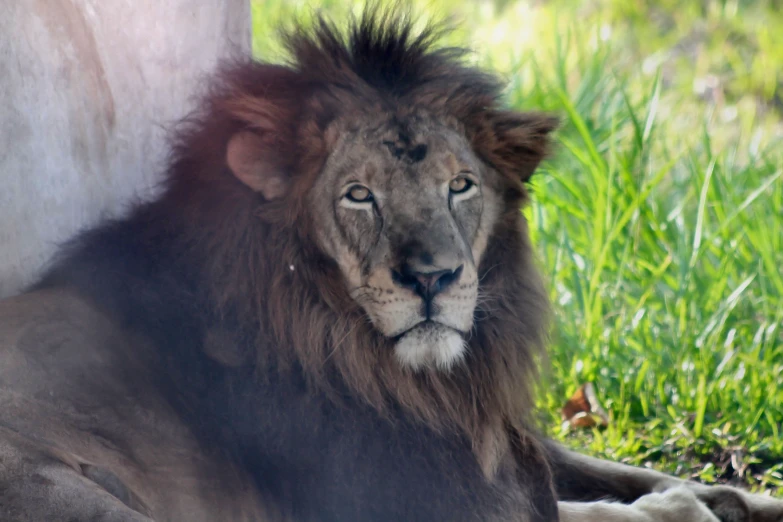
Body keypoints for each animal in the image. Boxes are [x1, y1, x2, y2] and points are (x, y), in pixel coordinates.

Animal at [1, 8, 783, 520]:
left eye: (459, 185)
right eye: (359, 195)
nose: (433, 278)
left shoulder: (482, 431)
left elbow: (609, 473)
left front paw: (727, 498)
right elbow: (585, 512)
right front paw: (683, 508)